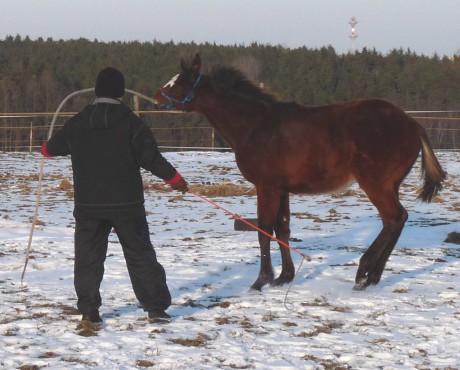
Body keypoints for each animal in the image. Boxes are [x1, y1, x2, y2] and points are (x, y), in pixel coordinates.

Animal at [154, 53, 446, 290]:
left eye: (178, 83)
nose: (156, 97)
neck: (256, 125)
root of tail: (412, 123)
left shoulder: (266, 186)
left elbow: (263, 229)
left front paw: (261, 280)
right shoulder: (282, 189)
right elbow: (282, 228)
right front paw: (285, 276)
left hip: (375, 183)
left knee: (394, 218)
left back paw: (364, 272)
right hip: (390, 185)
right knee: (396, 221)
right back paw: (372, 276)